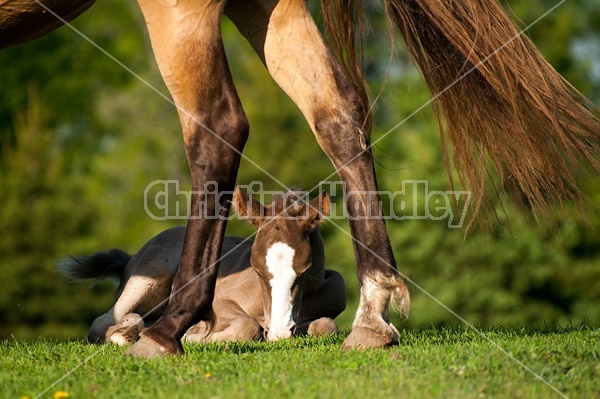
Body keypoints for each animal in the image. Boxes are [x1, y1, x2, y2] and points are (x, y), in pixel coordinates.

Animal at [59, 189, 346, 346]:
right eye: (255, 271)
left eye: (305, 270)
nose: (278, 331)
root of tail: (130, 259)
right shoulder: (218, 300)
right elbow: (247, 326)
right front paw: (192, 337)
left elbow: (326, 325)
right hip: (150, 273)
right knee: (104, 321)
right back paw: (128, 334)